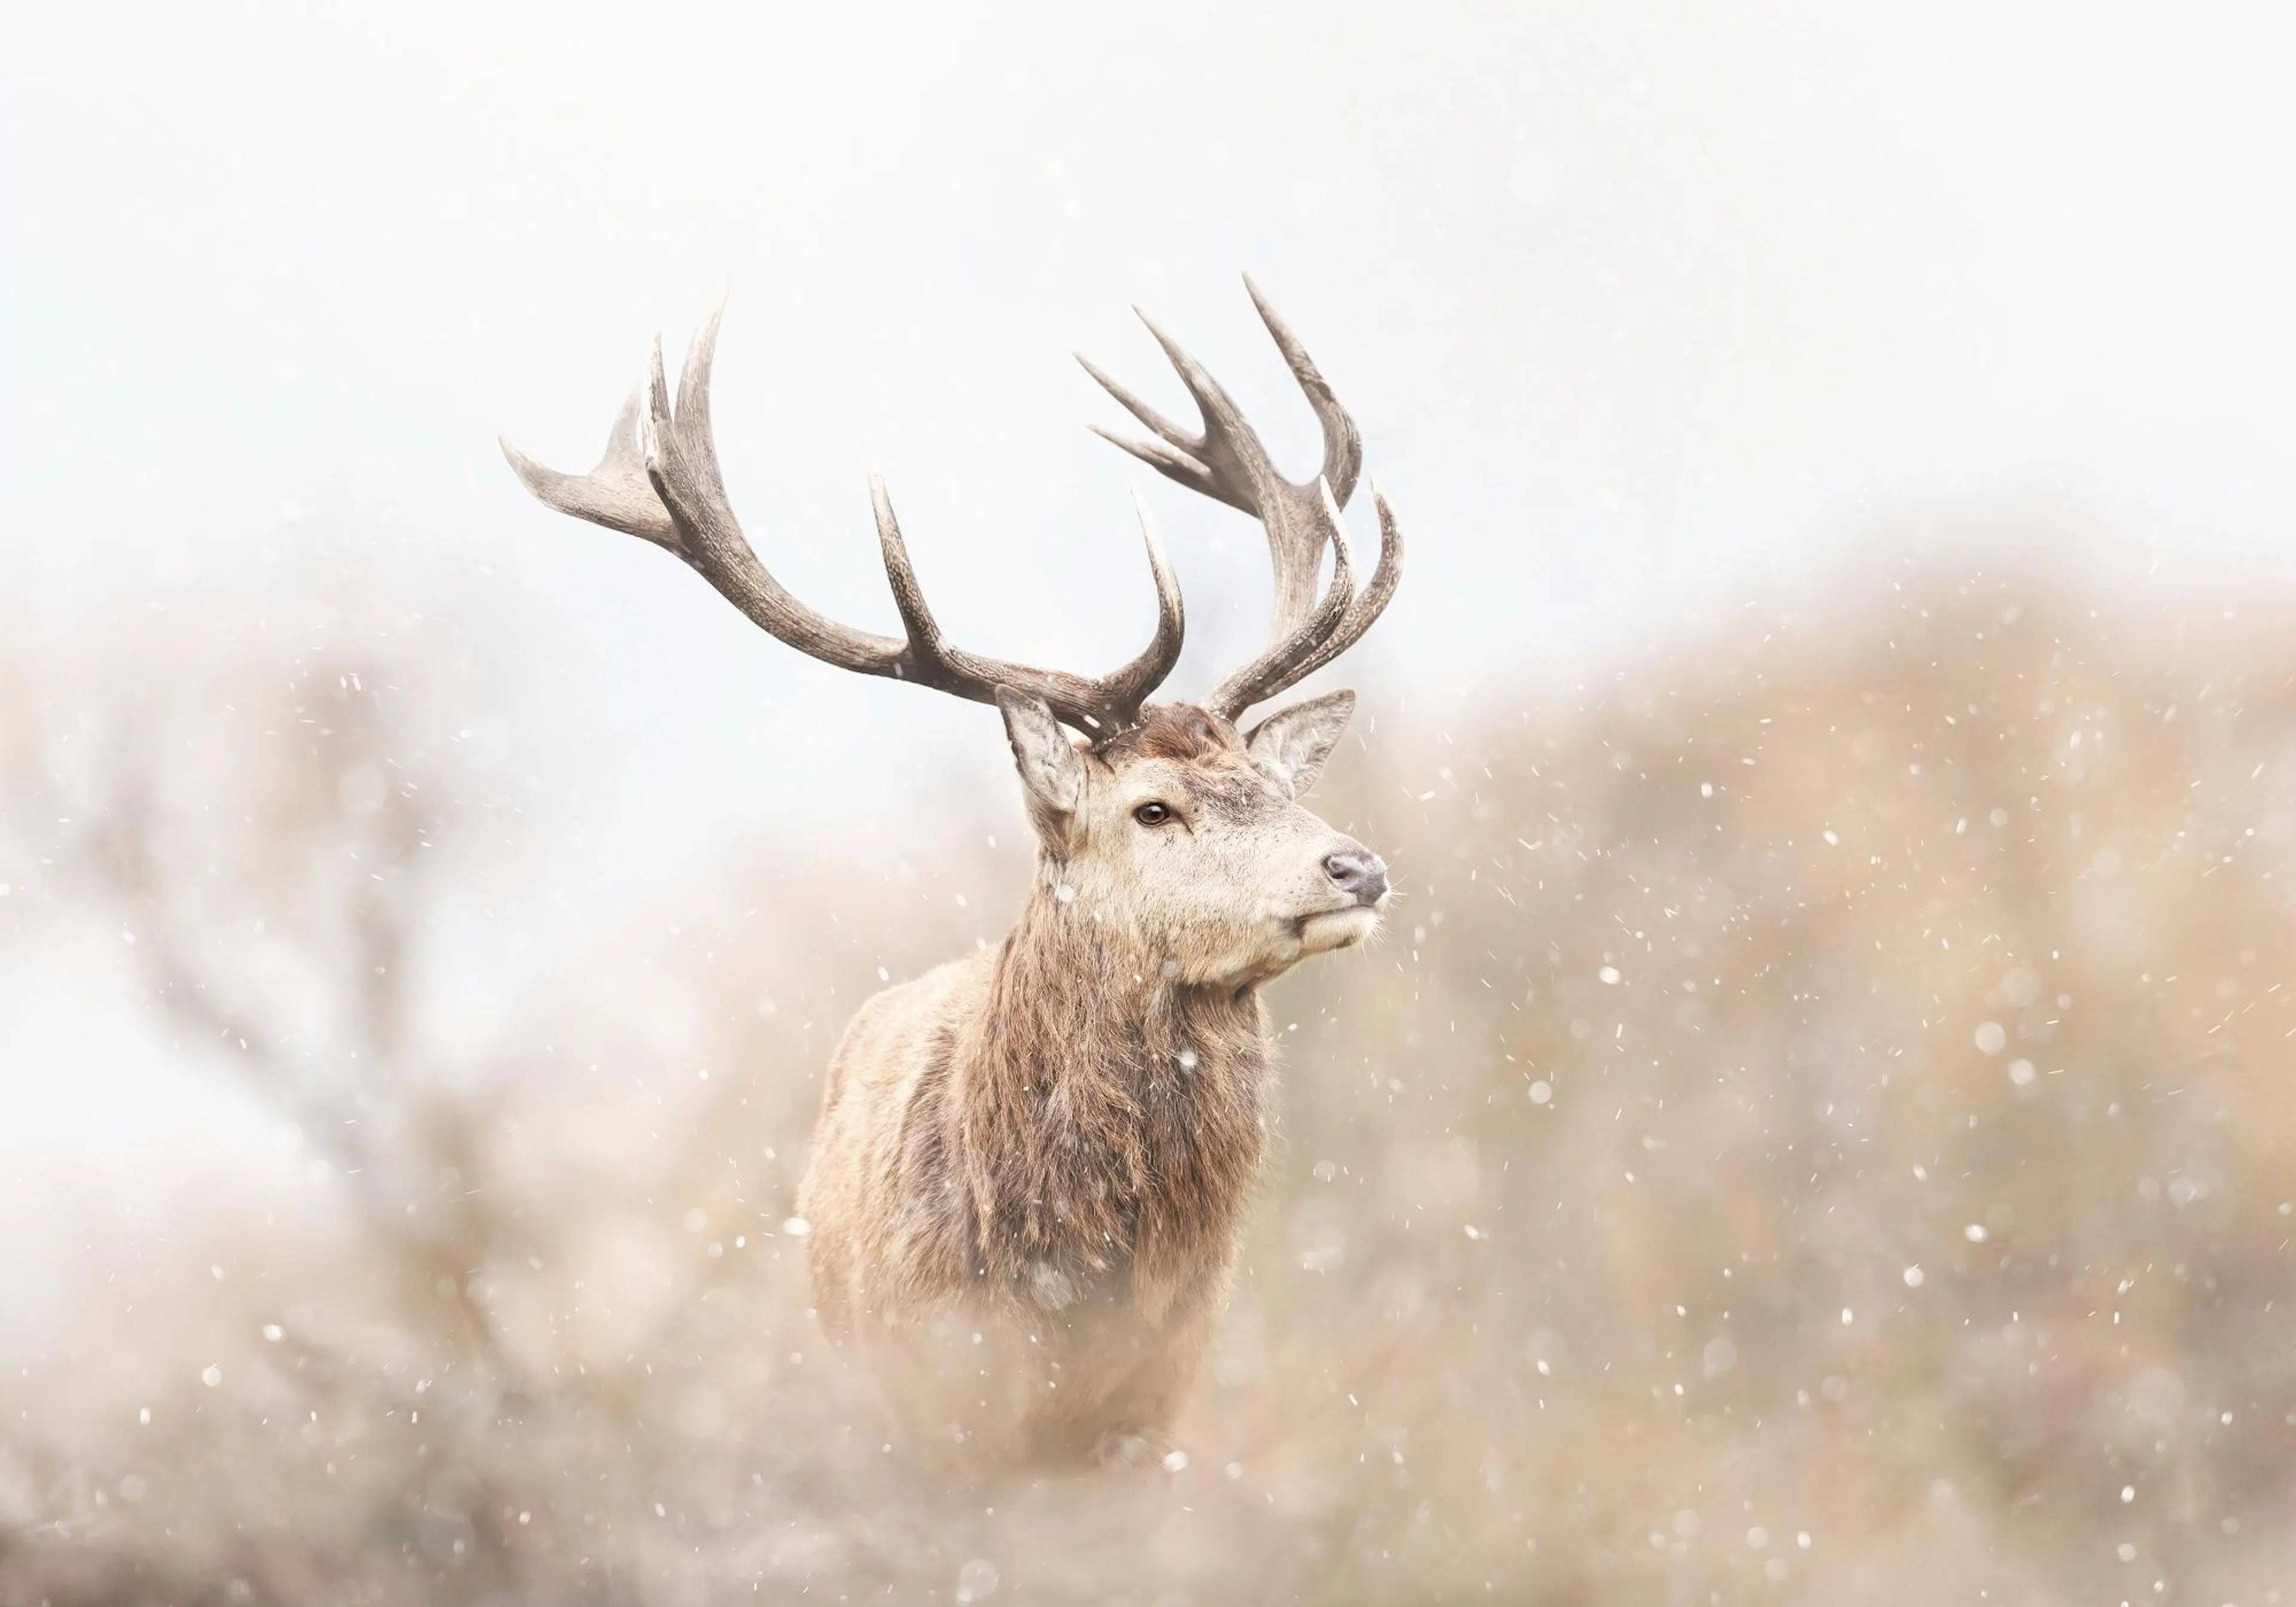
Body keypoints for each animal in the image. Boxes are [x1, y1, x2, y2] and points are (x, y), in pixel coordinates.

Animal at [502, 280, 1402, 1471]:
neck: (1067, 1284)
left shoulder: (1155, 1401)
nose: (1357, 864)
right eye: (1152, 807)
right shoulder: (932, 1399)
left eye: (1269, 779)